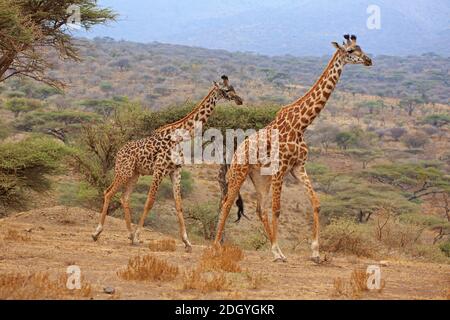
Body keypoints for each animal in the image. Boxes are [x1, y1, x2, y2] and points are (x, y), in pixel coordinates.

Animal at [92, 75, 244, 250]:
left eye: (233, 88)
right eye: (226, 90)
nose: (239, 100)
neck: (180, 136)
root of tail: (118, 153)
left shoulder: (175, 170)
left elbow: (179, 204)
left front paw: (187, 242)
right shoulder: (159, 169)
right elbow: (150, 202)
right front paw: (138, 235)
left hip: (134, 174)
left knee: (124, 198)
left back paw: (129, 235)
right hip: (124, 171)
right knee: (108, 192)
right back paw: (97, 233)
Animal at [214, 35, 372, 262]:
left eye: (361, 48)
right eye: (351, 51)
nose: (369, 60)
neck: (301, 125)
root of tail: (234, 154)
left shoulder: (298, 167)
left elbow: (316, 203)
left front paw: (315, 252)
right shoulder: (281, 168)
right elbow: (278, 209)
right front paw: (277, 250)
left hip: (260, 177)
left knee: (260, 209)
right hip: (239, 173)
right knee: (227, 203)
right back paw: (216, 246)